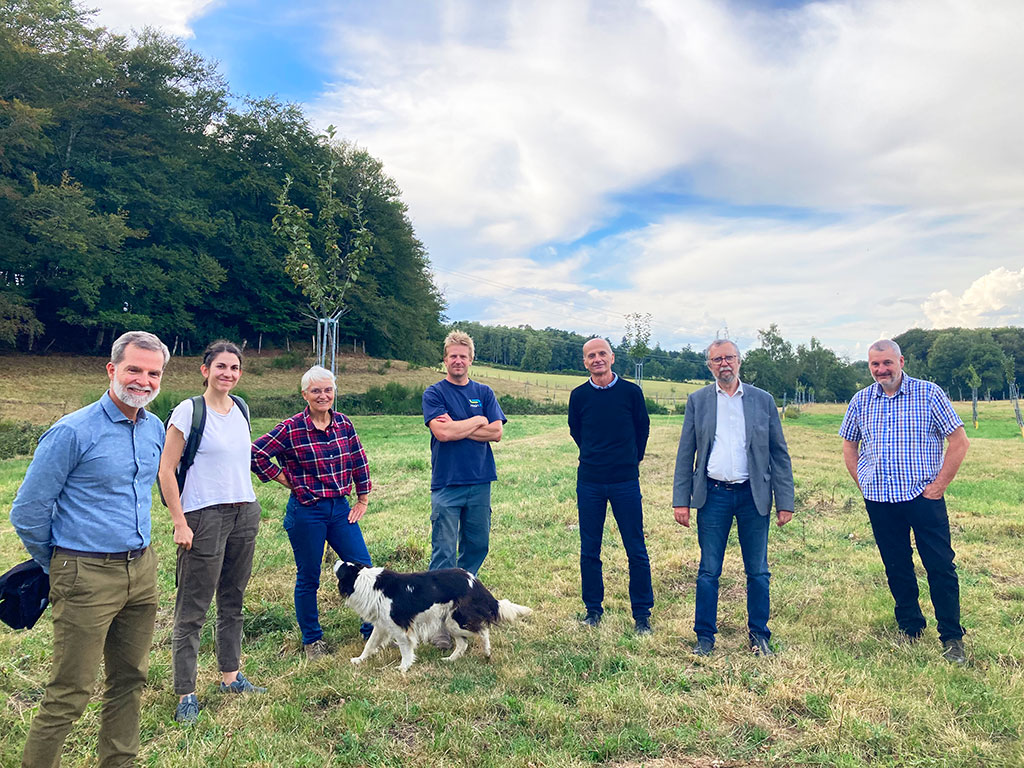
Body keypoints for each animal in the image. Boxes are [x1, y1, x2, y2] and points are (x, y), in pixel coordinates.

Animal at [333, 561, 532, 671]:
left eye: (341, 567)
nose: (335, 560)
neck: (363, 579)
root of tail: (475, 582)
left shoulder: (401, 628)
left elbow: (405, 649)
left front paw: (404, 668)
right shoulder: (383, 625)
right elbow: (369, 644)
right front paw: (359, 660)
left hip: (457, 620)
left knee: (483, 631)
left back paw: (487, 652)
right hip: (450, 622)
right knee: (463, 644)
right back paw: (450, 660)